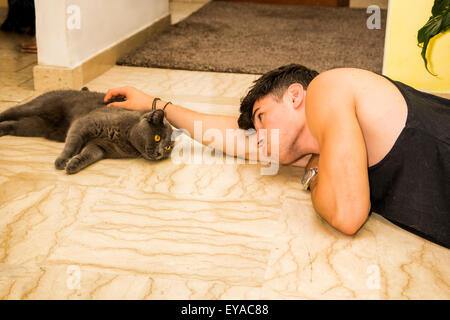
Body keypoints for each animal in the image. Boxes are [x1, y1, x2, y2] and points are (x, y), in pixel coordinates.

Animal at [0, 87, 178, 174]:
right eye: (157, 138)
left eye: (168, 147)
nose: (160, 153)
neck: (124, 138)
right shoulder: (82, 125)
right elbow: (71, 146)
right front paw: (62, 161)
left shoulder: (100, 147)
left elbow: (88, 155)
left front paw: (73, 165)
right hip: (34, 107)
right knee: (10, 112)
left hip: (33, 126)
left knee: (14, 125)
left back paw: (2, 130)